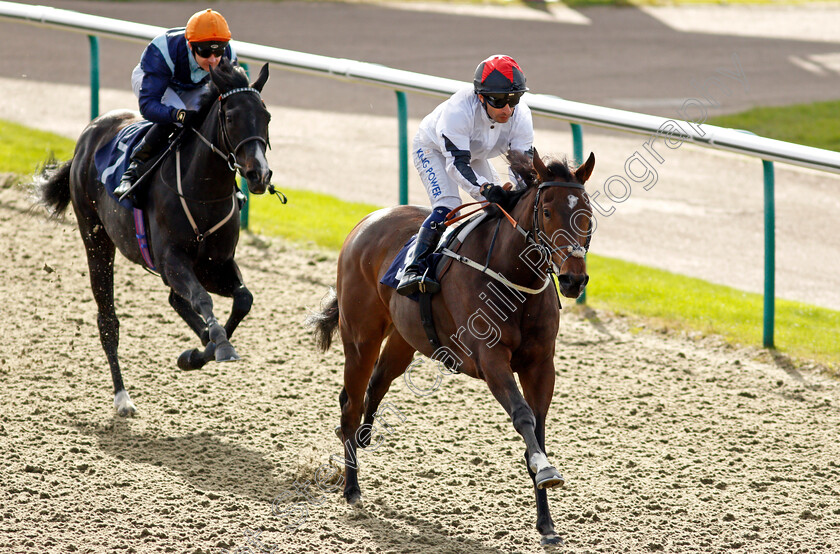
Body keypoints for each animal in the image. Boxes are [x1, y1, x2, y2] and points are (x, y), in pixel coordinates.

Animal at [37, 58, 272, 416]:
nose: (259, 174)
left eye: (266, 116)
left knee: (176, 299)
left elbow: (243, 299)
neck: (202, 192)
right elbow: (202, 299)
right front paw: (216, 343)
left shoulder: (215, 264)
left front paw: (201, 351)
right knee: (108, 320)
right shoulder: (172, 259)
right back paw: (122, 397)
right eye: (231, 117)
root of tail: (89, 134)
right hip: (96, 239)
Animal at [310, 150, 596, 544]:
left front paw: (546, 522)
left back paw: (363, 436)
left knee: (376, 384)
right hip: (360, 337)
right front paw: (544, 468)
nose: (572, 279)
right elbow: (523, 416)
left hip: (404, 339)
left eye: (586, 212)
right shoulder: (491, 359)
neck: (512, 276)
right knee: (351, 403)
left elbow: (537, 430)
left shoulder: (541, 364)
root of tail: (366, 221)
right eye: (548, 211)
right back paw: (351, 488)